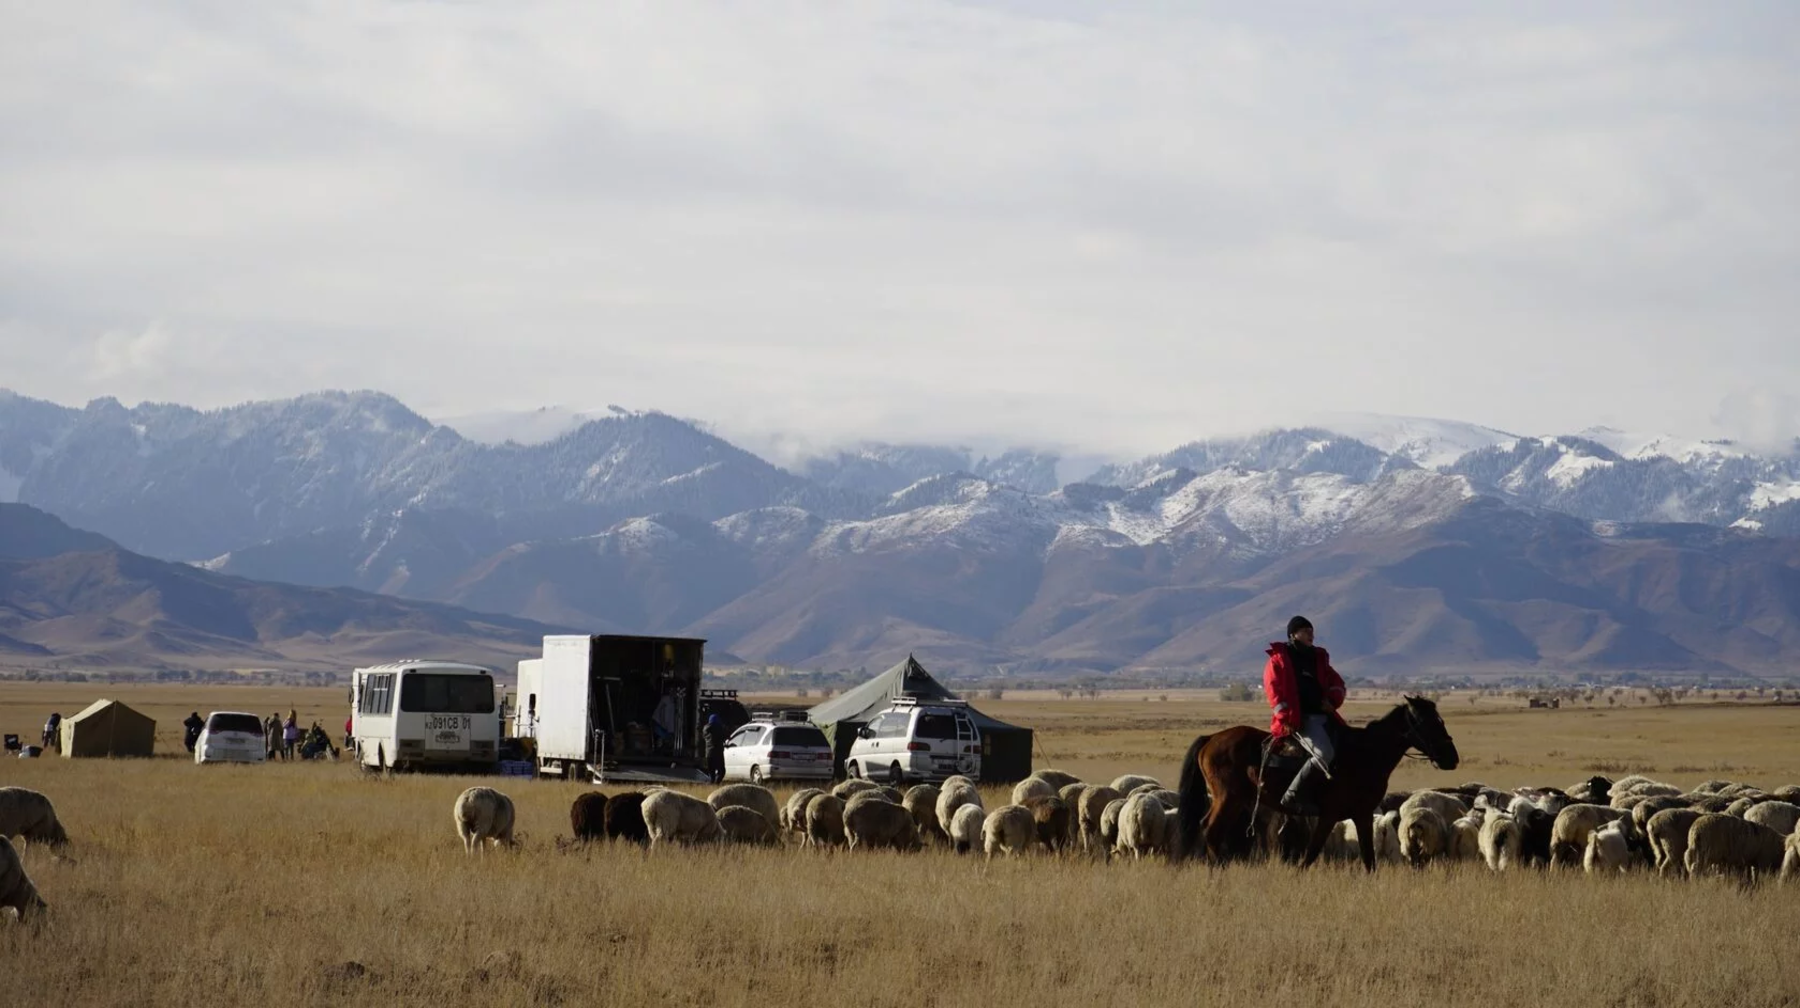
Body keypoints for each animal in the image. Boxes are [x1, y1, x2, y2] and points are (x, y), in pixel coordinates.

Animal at [1180, 698, 1461, 871]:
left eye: (1441, 720)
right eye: (1428, 722)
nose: (1452, 758)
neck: (1365, 753)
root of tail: (1211, 738)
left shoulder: (1362, 814)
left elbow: (1368, 857)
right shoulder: (1329, 815)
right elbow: (1311, 854)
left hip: (1234, 801)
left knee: (1210, 828)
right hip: (1228, 798)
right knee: (1211, 829)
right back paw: (1220, 870)